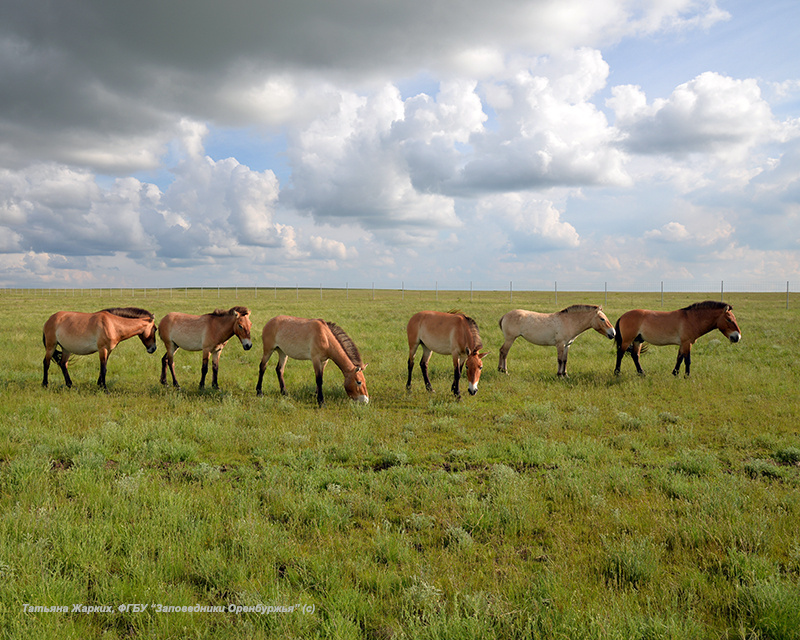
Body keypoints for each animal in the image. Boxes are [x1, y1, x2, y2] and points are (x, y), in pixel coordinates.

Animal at [612, 298, 744, 376]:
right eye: (729, 319)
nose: (737, 337)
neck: (691, 319)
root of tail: (623, 316)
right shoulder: (687, 343)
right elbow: (687, 360)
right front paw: (687, 376)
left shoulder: (683, 344)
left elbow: (679, 359)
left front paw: (675, 373)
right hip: (627, 340)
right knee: (620, 354)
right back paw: (617, 372)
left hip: (637, 340)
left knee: (635, 355)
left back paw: (641, 373)